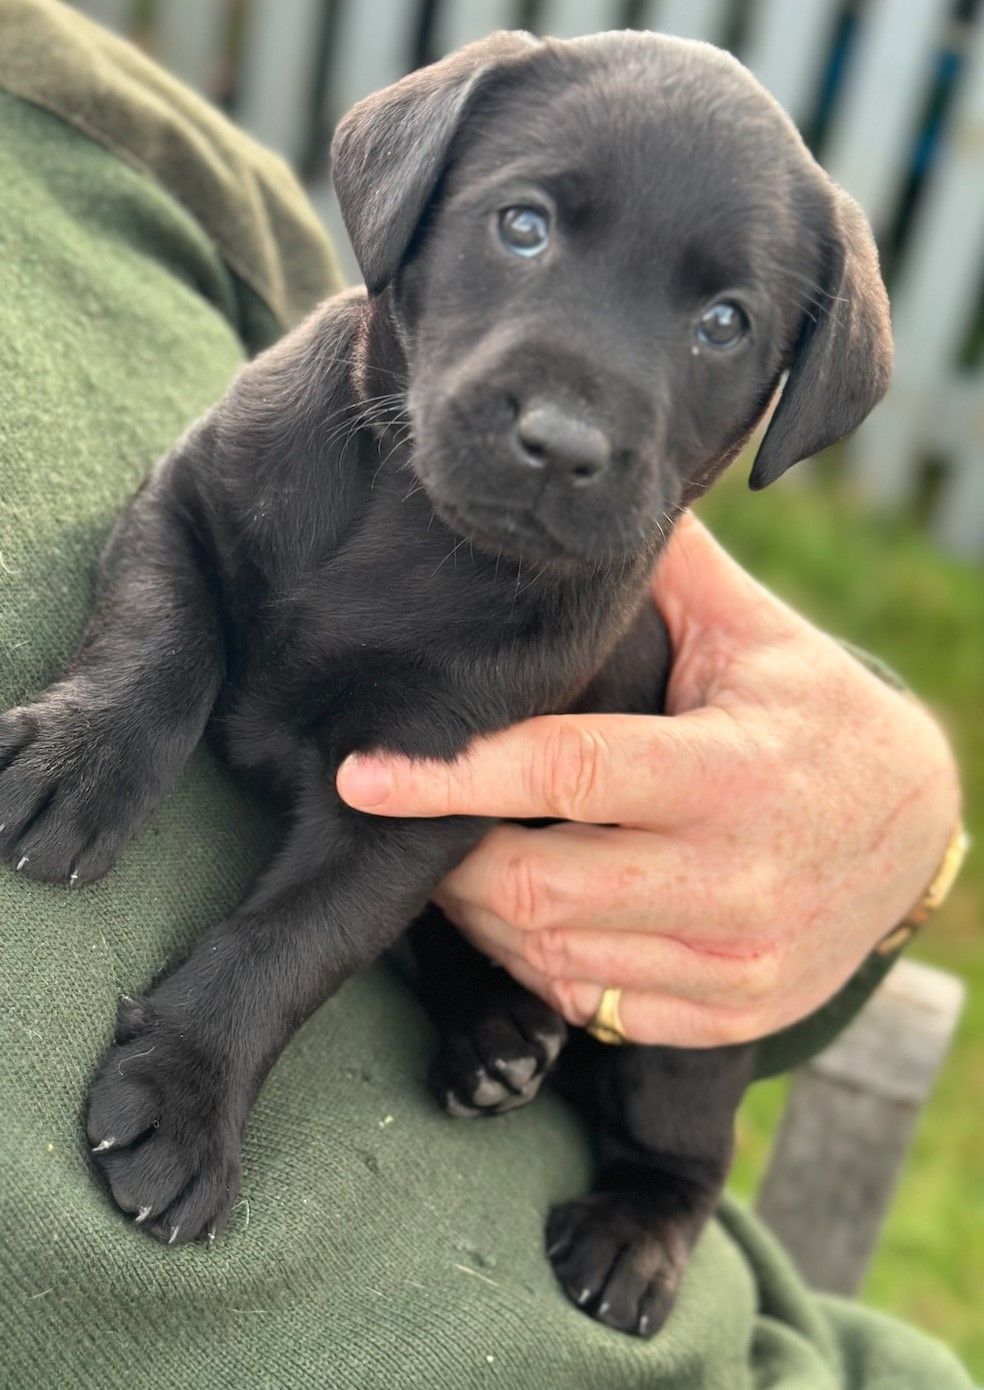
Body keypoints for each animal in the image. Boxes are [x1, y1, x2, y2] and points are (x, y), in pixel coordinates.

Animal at [0, 32, 889, 1334]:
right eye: (522, 226)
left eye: (726, 322)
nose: (565, 443)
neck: (413, 528)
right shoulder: (187, 502)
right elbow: (155, 644)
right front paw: (74, 766)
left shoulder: (423, 791)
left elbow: (297, 941)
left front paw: (186, 1094)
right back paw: (497, 1037)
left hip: (685, 1036)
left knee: (689, 1151)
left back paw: (633, 1232)